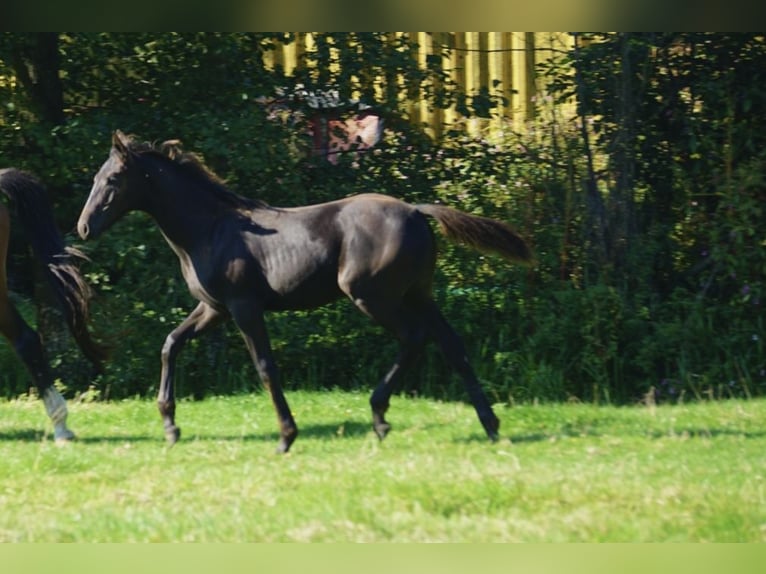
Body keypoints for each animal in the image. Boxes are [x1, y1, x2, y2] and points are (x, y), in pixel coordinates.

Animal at [78, 132, 536, 454]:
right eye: (96, 178)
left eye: (114, 179)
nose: (83, 227)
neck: (210, 229)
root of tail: (415, 210)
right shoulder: (213, 309)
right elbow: (170, 344)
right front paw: (171, 427)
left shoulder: (244, 308)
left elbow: (265, 367)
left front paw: (286, 436)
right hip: (418, 294)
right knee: (452, 346)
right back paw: (491, 427)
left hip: (372, 296)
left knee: (413, 338)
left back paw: (380, 416)